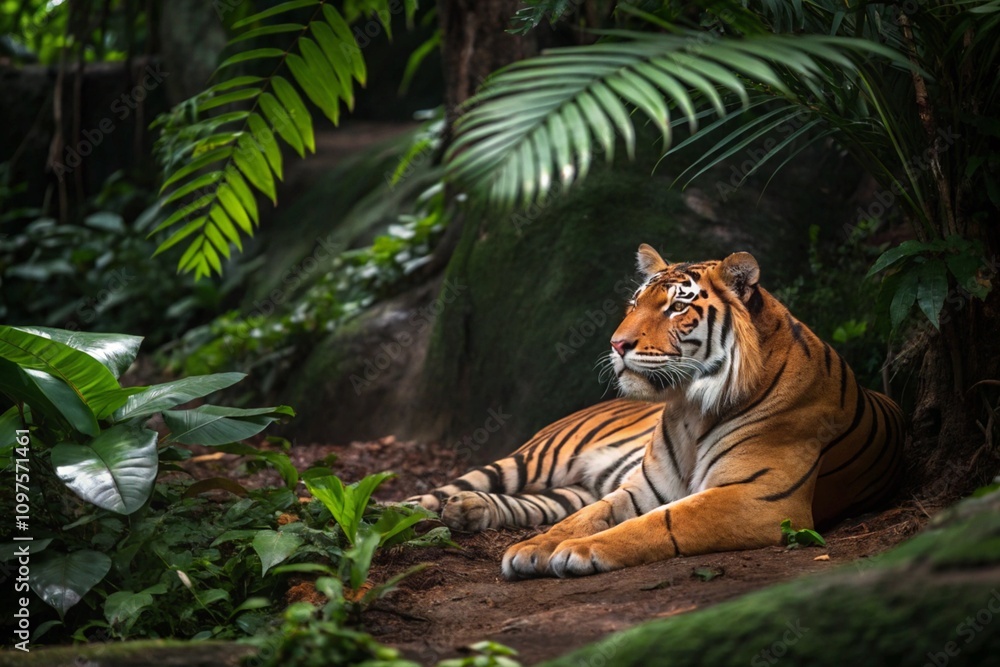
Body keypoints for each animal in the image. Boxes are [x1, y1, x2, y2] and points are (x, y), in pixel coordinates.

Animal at [410, 245, 905, 579]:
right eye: (634, 304)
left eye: (677, 307)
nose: (616, 344)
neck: (690, 408)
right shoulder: (641, 487)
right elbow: (586, 518)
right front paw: (533, 548)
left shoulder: (758, 498)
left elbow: (660, 522)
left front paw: (575, 551)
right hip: (537, 456)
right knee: (441, 492)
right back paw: (423, 510)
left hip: (568, 482)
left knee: (536, 501)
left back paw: (467, 511)